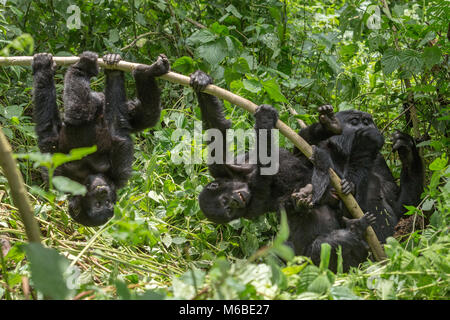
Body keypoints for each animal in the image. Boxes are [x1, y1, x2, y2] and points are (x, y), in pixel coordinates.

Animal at [31, 51, 169, 225]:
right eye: (98, 204)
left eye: (107, 202)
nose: (102, 191)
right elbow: (49, 131)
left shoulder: (117, 177)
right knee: (80, 112)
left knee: (143, 116)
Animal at [189, 70, 372, 270]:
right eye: (228, 209)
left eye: (226, 200)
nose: (237, 201)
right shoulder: (251, 208)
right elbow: (267, 183)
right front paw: (264, 120)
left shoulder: (221, 170)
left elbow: (218, 131)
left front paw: (201, 80)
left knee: (302, 146)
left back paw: (329, 127)